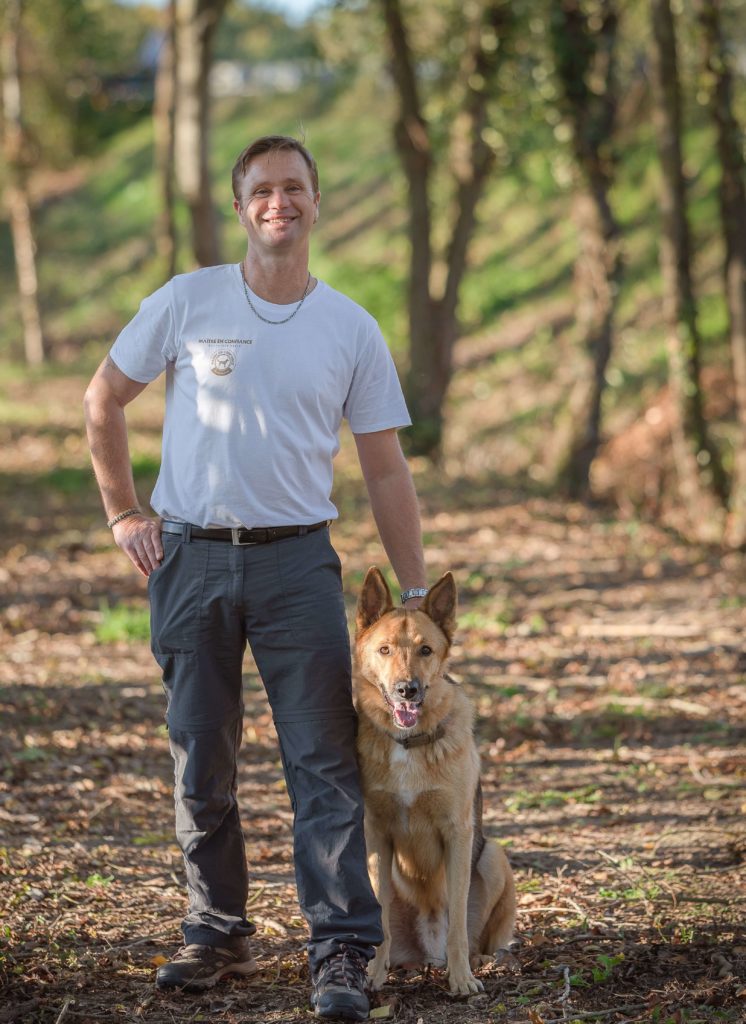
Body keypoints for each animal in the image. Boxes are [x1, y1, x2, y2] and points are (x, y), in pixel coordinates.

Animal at [352, 569, 515, 991]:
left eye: (426, 650)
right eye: (385, 650)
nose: (407, 690)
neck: (409, 742)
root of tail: (426, 955)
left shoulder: (457, 832)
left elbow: (457, 921)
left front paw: (461, 979)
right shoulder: (376, 835)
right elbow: (379, 919)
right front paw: (374, 974)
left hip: (493, 855)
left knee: (479, 938)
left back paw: (483, 961)